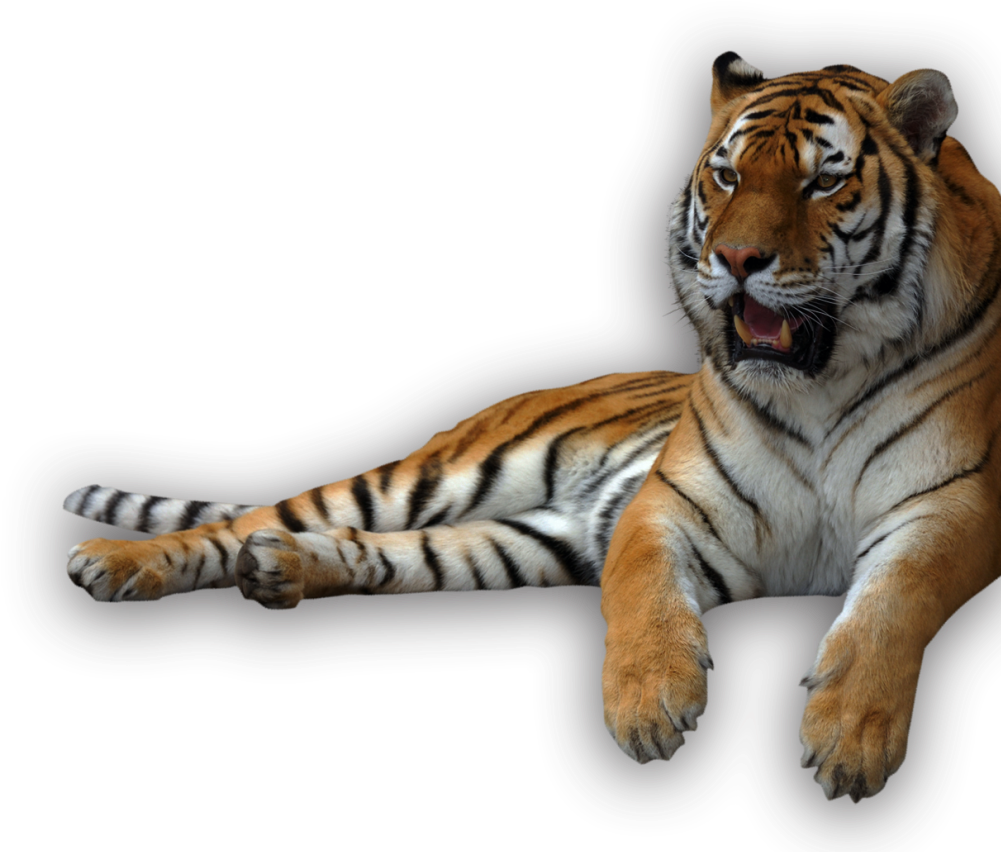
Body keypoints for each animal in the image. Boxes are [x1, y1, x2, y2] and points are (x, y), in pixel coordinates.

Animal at [63, 53, 1000, 803]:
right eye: (729, 177)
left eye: (821, 182)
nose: (735, 262)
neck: (819, 384)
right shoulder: (668, 503)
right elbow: (644, 597)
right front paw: (649, 704)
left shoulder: (953, 505)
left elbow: (889, 605)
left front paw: (849, 738)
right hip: (437, 475)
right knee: (256, 518)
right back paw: (115, 563)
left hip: (525, 538)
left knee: (381, 553)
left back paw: (283, 570)